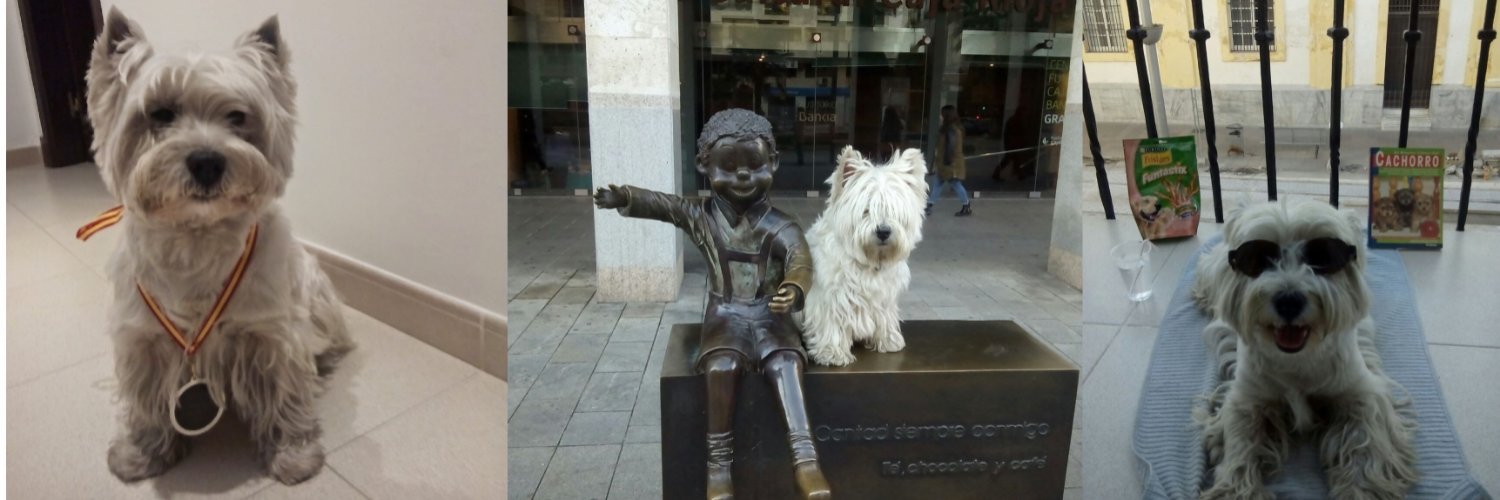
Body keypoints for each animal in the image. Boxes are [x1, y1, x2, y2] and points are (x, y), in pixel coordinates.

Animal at [87, 8, 353, 485]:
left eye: (238, 116)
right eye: (160, 113)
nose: (207, 161)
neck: (196, 237)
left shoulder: (271, 334)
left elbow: (284, 392)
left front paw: (293, 454)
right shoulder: (143, 339)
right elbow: (145, 400)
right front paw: (141, 452)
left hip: (316, 294)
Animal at [799, 147, 928, 367]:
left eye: (893, 210)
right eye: (866, 210)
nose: (883, 231)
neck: (869, 261)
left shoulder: (884, 299)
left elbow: (885, 317)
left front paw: (888, 340)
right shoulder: (829, 298)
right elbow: (831, 322)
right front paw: (832, 353)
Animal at [1189, 200, 1417, 500]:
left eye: (1323, 256)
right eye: (1259, 258)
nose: (1289, 301)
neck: (1297, 360)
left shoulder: (1360, 391)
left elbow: (1364, 445)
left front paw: (1360, 488)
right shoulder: (1246, 399)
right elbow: (1239, 447)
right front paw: (1237, 488)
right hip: (1214, 269)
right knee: (1206, 269)